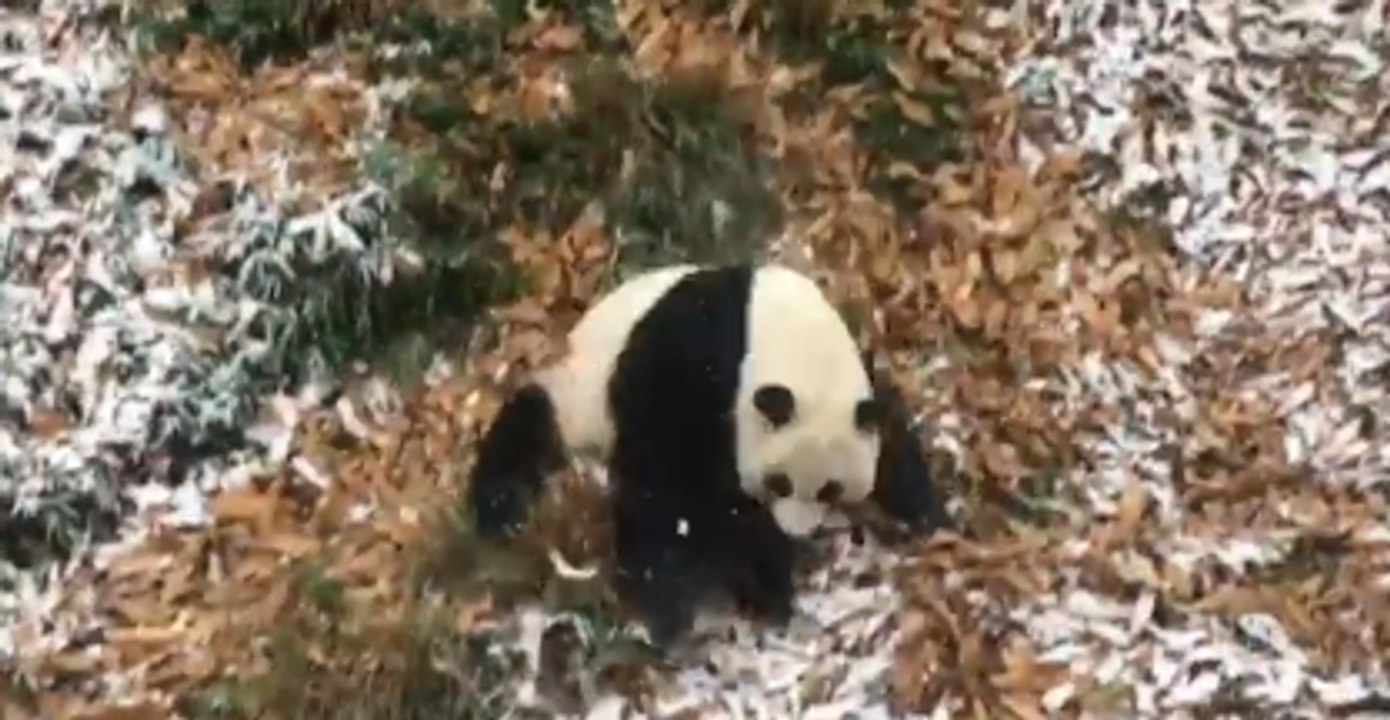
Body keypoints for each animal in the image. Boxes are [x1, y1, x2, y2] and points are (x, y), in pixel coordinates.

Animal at [468, 263, 949, 644]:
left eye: (830, 489)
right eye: (780, 482)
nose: (797, 532)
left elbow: (890, 432)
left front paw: (930, 516)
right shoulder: (694, 366)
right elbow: (691, 489)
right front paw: (767, 579)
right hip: (575, 396)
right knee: (532, 432)